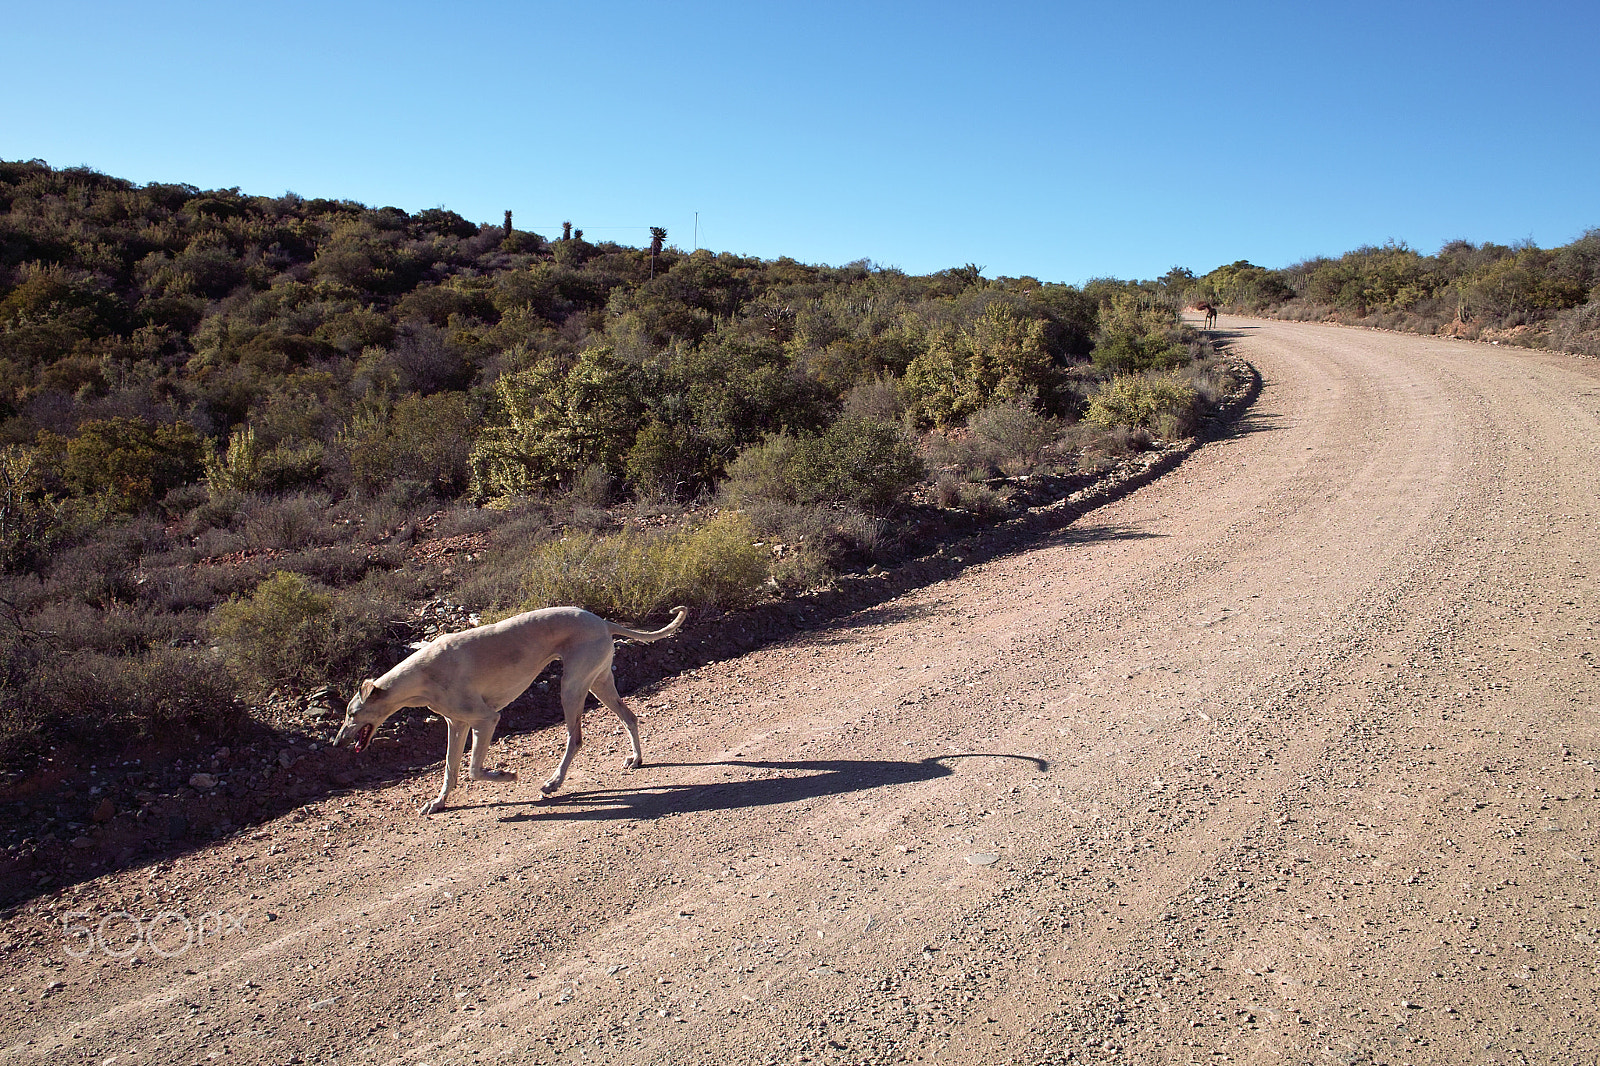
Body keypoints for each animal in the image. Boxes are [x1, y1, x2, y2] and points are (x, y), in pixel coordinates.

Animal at [334, 605, 684, 813]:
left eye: (352, 714)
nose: (337, 743)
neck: (421, 674)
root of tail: (601, 620)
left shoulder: (486, 719)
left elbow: (474, 770)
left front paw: (506, 775)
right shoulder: (456, 724)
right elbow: (450, 770)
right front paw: (439, 802)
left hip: (572, 687)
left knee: (576, 738)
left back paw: (554, 782)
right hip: (598, 683)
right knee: (630, 717)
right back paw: (635, 758)